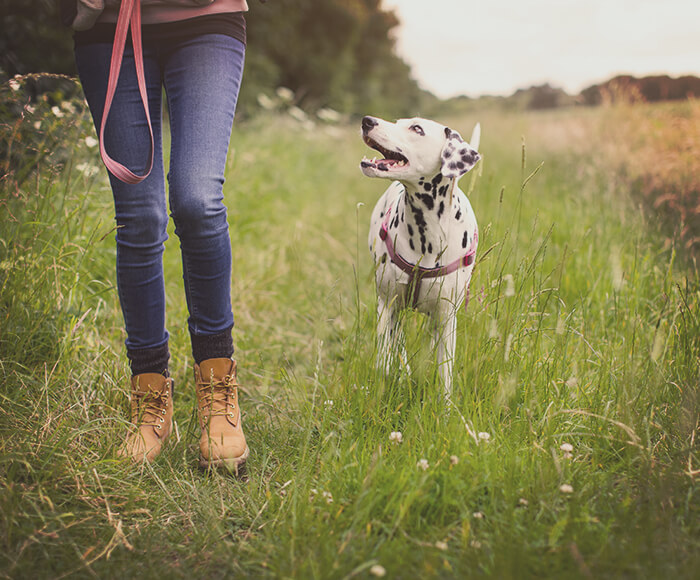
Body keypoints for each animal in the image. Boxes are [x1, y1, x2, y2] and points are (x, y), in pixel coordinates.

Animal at [360, 116, 482, 398]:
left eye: (416, 129)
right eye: (398, 121)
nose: (367, 121)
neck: (427, 234)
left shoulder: (447, 319)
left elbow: (445, 374)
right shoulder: (388, 305)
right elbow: (384, 357)